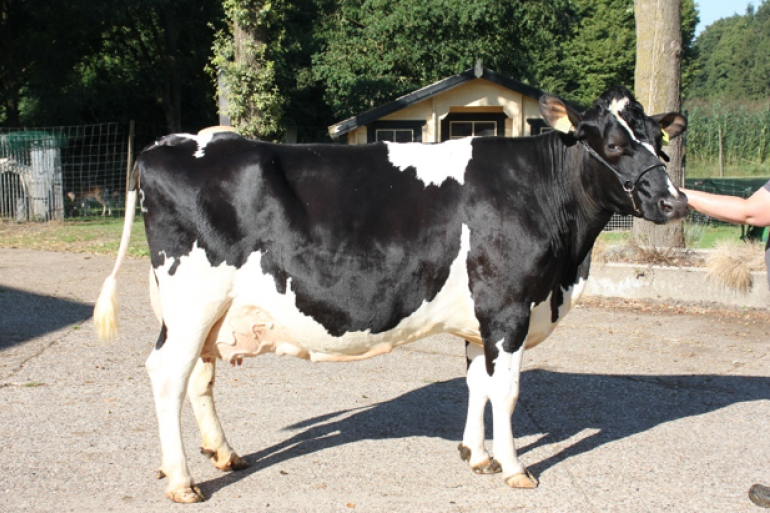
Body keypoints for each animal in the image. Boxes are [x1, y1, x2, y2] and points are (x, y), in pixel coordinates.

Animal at [93, 87, 688, 500]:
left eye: (660, 142)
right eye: (614, 144)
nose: (675, 202)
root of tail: (166, 144)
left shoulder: (479, 320)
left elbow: (476, 384)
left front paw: (476, 455)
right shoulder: (508, 308)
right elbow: (507, 392)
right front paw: (515, 467)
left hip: (206, 313)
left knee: (199, 376)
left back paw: (222, 454)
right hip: (193, 301)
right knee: (168, 375)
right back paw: (182, 481)